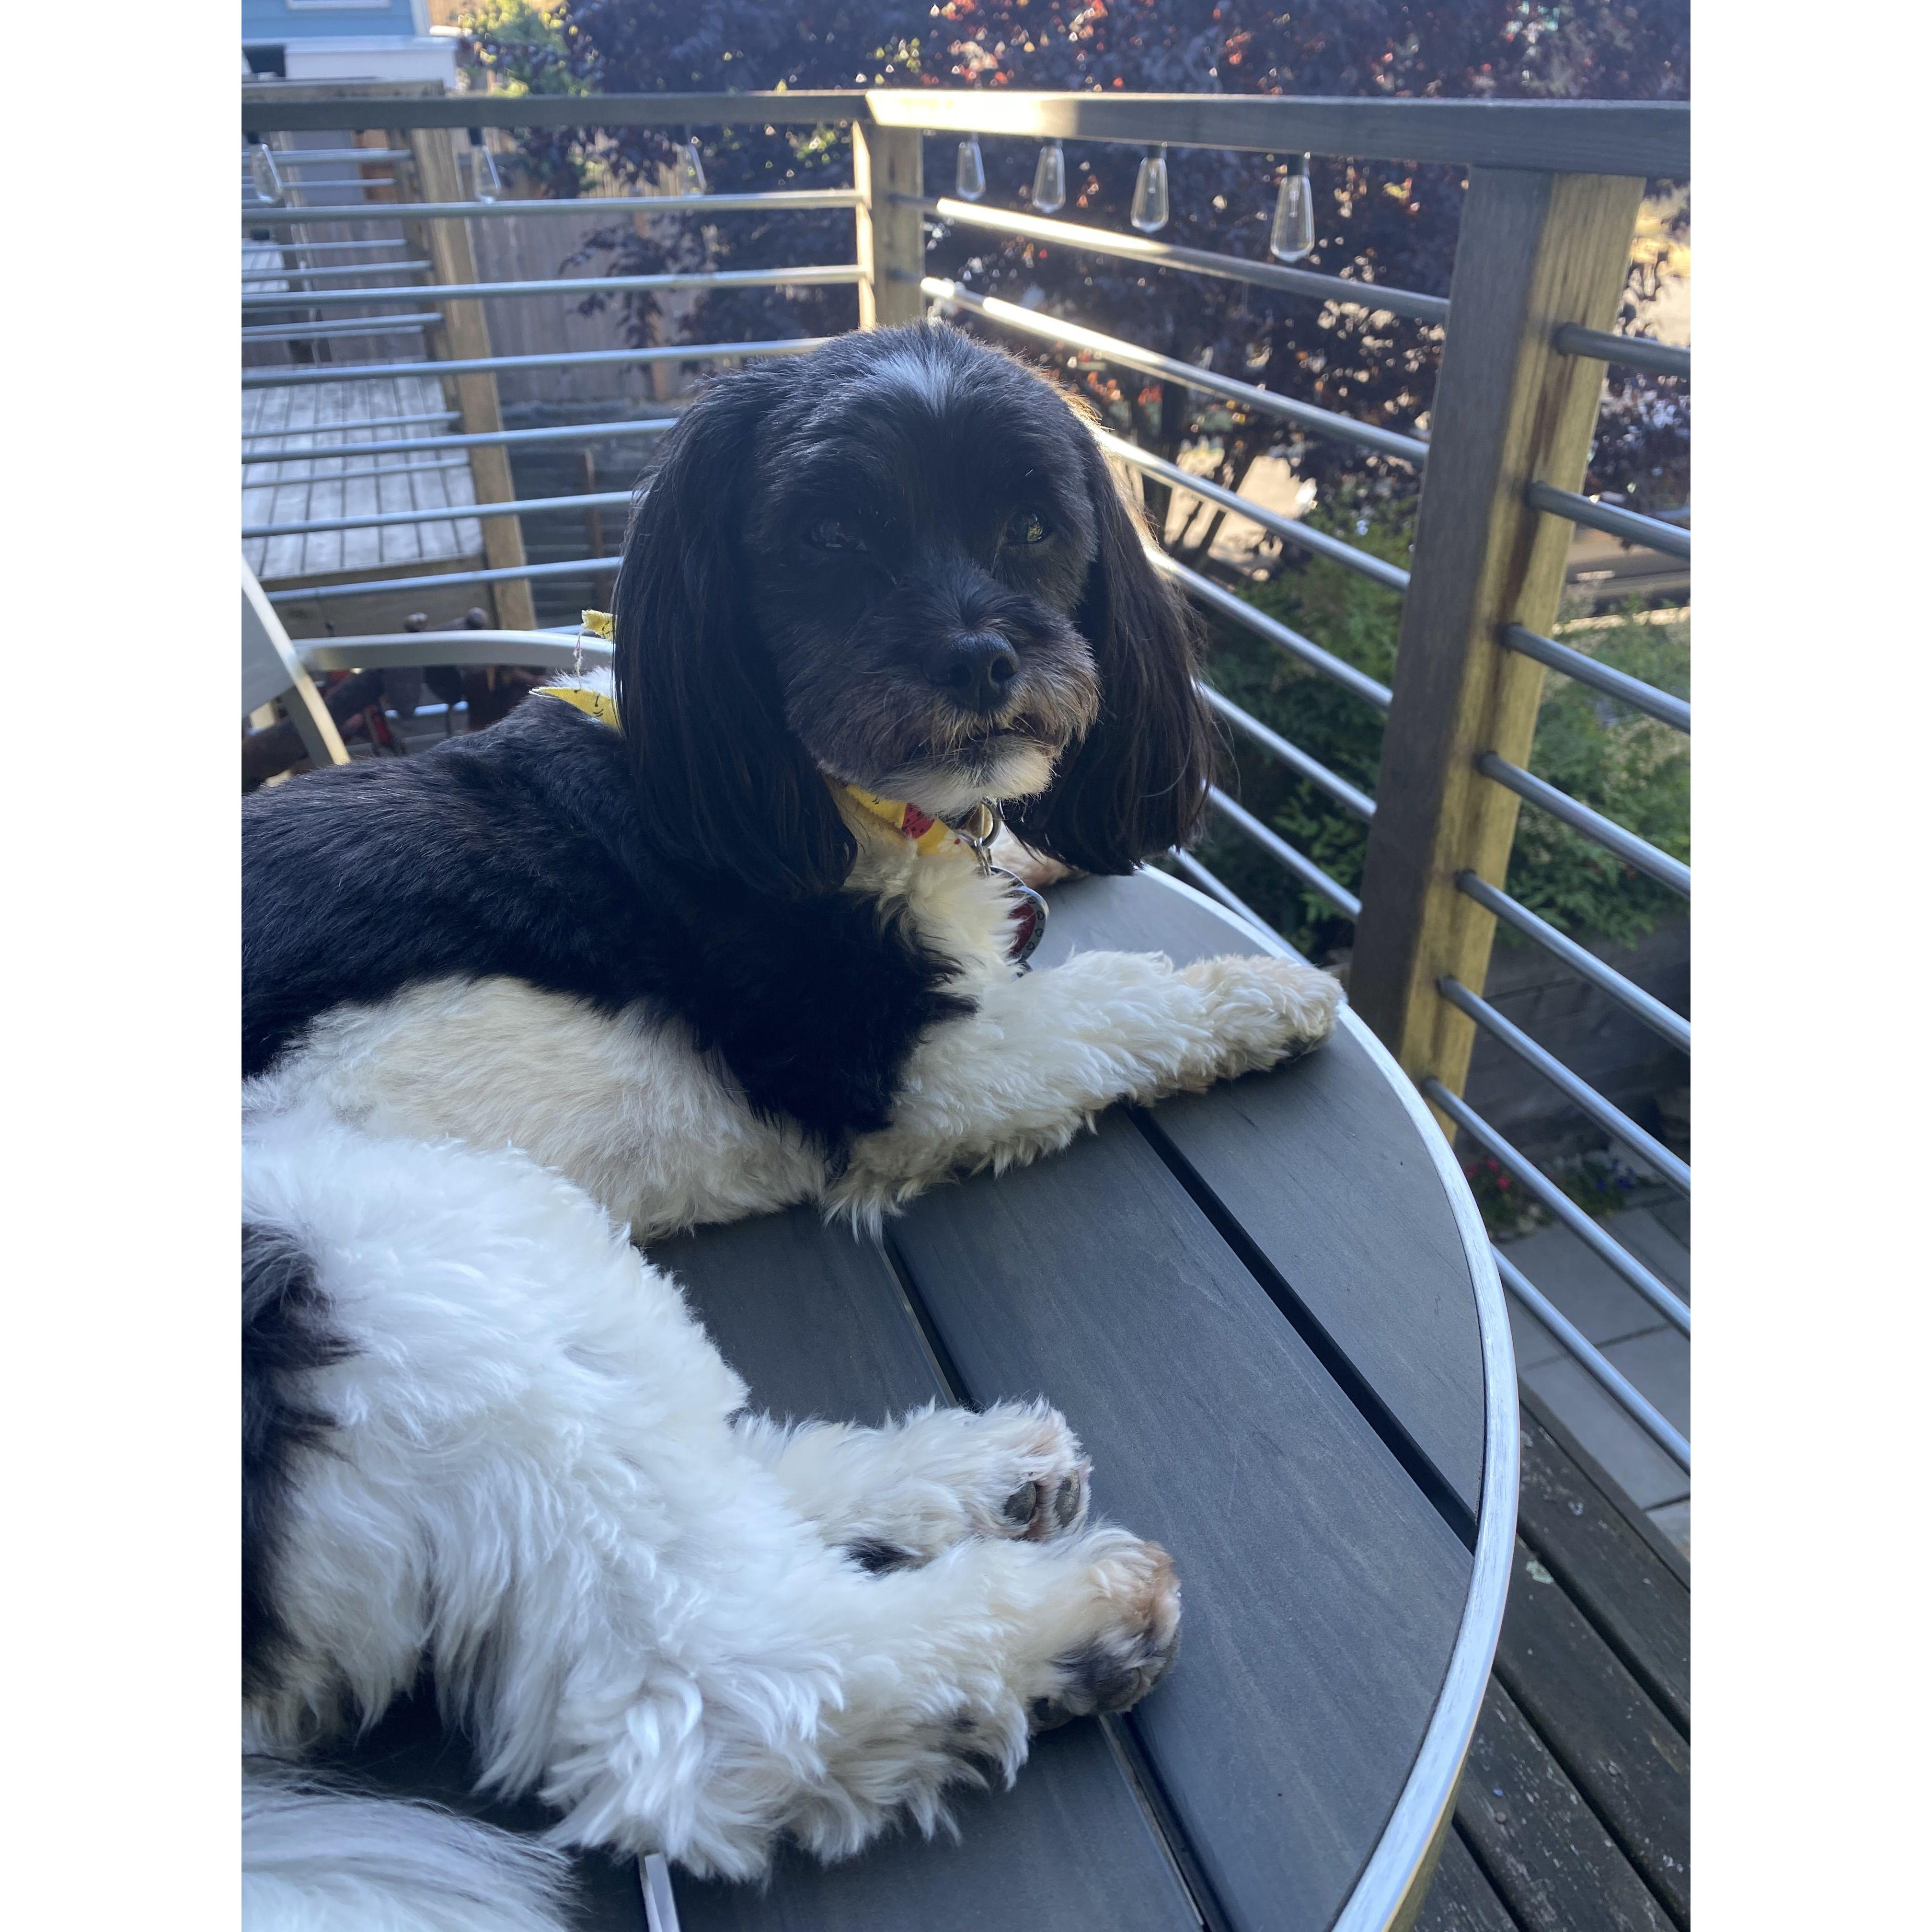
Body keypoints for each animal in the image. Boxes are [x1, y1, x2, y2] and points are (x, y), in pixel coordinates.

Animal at [242, 324, 1337, 1924]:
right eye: (826, 541)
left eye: (1032, 528)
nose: (982, 656)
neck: (817, 790)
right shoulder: (905, 1071)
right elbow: (1110, 1008)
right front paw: (1258, 990)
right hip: (406, 1257)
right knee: (716, 1676)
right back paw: (1060, 1626)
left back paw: (967, 1476)